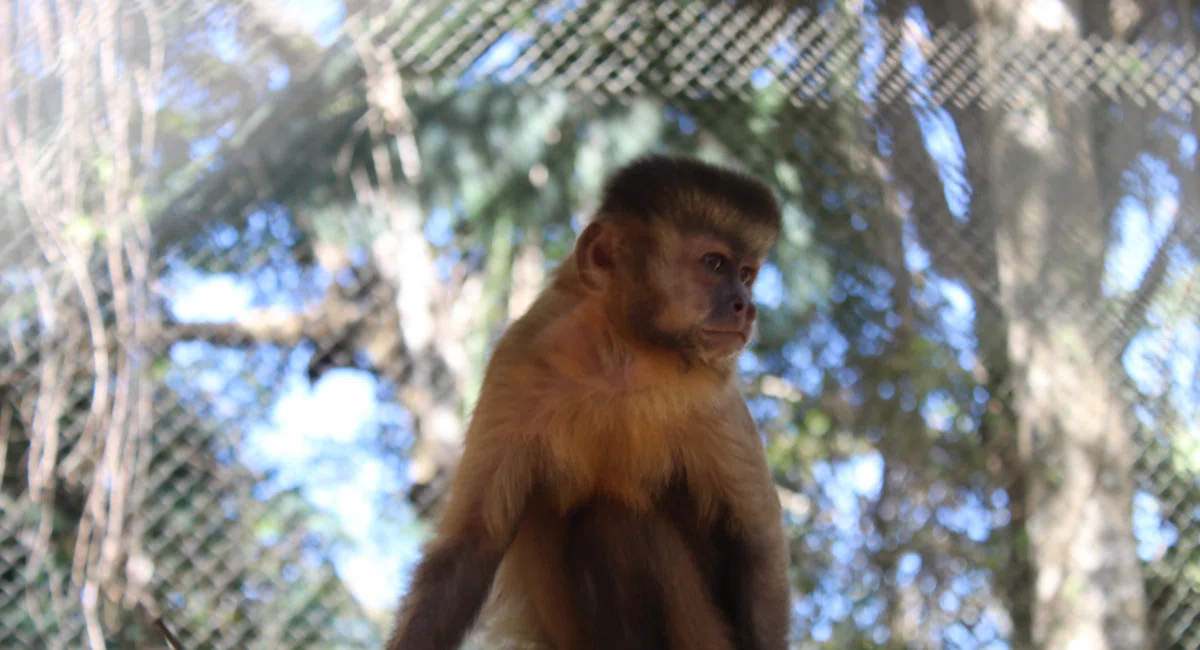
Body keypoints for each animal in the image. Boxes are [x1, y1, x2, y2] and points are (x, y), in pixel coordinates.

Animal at [384, 155, 792, 650]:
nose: (746, 306)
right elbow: (473, 541)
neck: (623, 354)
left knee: (612, 521)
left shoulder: (710, 391)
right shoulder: (519, 360)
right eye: (715, 264)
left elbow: (757, 539)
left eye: (748, 274)